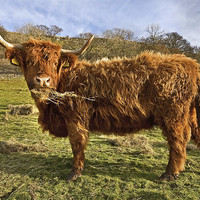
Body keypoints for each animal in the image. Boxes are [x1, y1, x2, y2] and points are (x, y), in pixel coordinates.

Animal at [0, 34, 200, 181]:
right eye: (29, 60)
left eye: (55, 62)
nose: (43, 80)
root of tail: (190, 63)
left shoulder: (76, 117)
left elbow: (77, 143)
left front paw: (75, 173)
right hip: (191, 113)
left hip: (173, 115)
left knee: (178, 139)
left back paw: (169, 174)